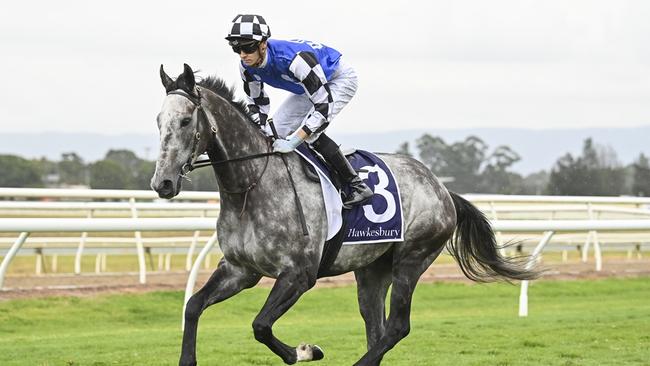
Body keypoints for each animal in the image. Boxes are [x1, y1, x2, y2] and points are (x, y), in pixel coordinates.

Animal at [152, 64, 536, 364]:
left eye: (185, 120)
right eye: (158, 120)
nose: (163, 183)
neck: (252, 185)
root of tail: (441, 188)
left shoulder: (299, 274)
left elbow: (260, 326)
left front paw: (306, 351)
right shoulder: (240, 269)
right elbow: (193, 306)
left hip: (412, 258)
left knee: (397, 326)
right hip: (372, 270)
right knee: (376, 327)